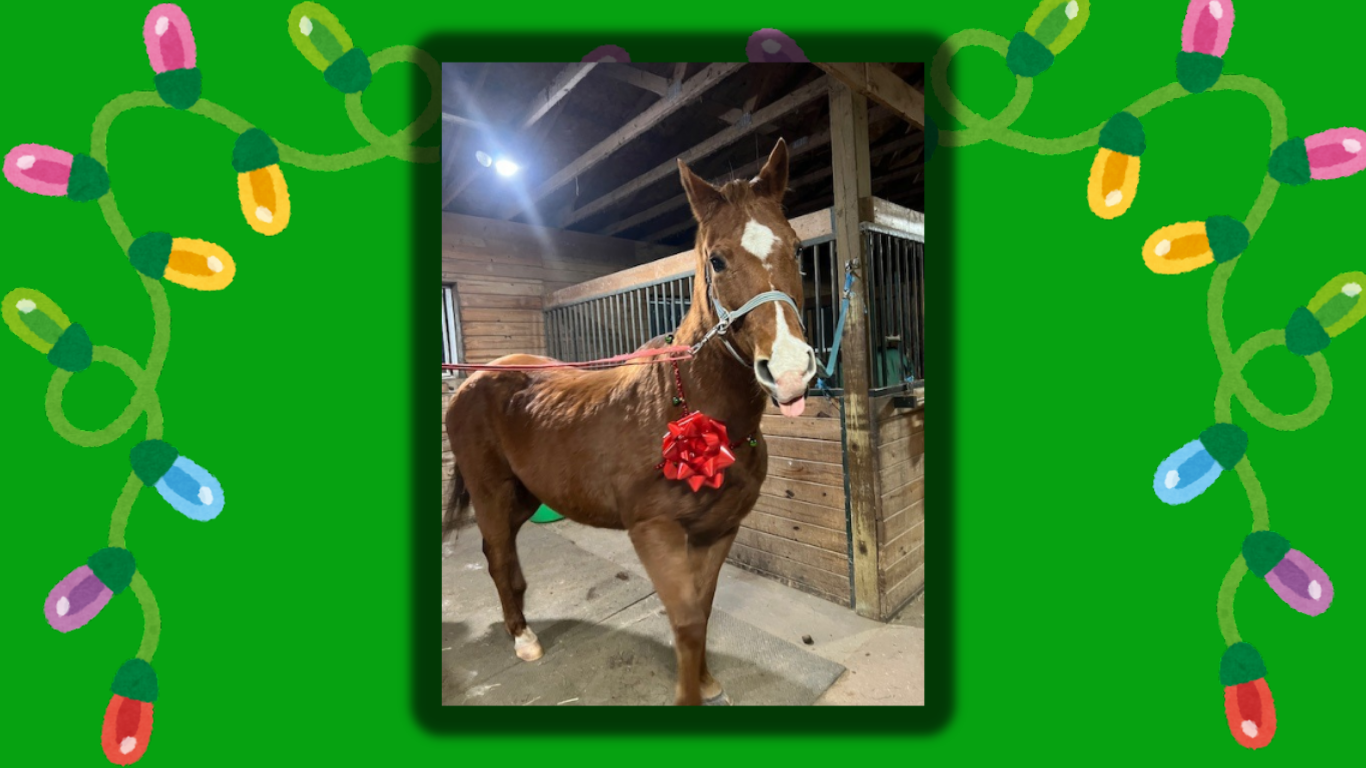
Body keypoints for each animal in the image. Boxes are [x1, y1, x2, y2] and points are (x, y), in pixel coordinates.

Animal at [443, 138, 817, 706]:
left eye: (795, 248)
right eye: (717, 260)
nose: (792, 371)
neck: (685, 405)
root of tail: (474, 379)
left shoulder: (718, 530)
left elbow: (703, 608)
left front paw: (706, 680)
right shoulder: (653, 531)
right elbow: (685, 620)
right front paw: (689, 694)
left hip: (525, 494)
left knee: (501, 552)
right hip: (491, 492)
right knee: (498, 556)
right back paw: (524, 640)